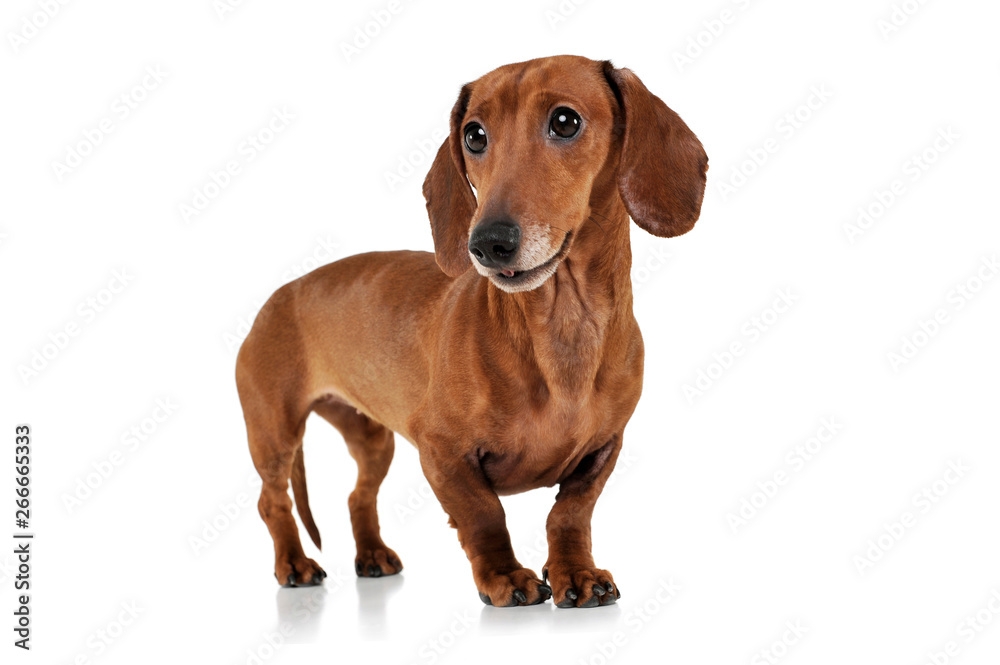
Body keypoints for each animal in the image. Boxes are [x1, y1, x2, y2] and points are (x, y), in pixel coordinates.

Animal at [235, 55, 708, 608]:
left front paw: (576, 573)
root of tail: (278, 296)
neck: (563, 326)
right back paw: (294, 564)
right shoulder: (441, 453)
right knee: (273, 502)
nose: (487, 243)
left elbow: (569, 515)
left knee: (358, 495)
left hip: (372, 439)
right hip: (275, 433)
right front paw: (505, 577)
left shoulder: (602, 450)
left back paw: (372, 555)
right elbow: (484, 516)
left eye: (565, 121)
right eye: (474, 135)